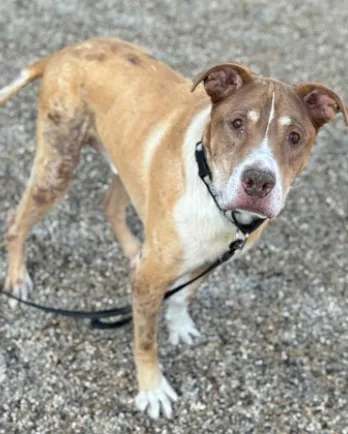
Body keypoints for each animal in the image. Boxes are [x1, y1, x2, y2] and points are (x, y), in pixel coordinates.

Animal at [1, 39, 346, 418]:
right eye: (237, 123)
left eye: (295, 136)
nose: (258, 182)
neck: (214, 199)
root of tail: (66, 50)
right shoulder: (151, 279)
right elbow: (145, 340)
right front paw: (152, 390)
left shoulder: (213, 259)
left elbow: (184, 295)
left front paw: (179, 326)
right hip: (56, 166)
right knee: (16, 223)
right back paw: (18, 277)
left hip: (124, 163)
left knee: (111, 207)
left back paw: (133, 249)